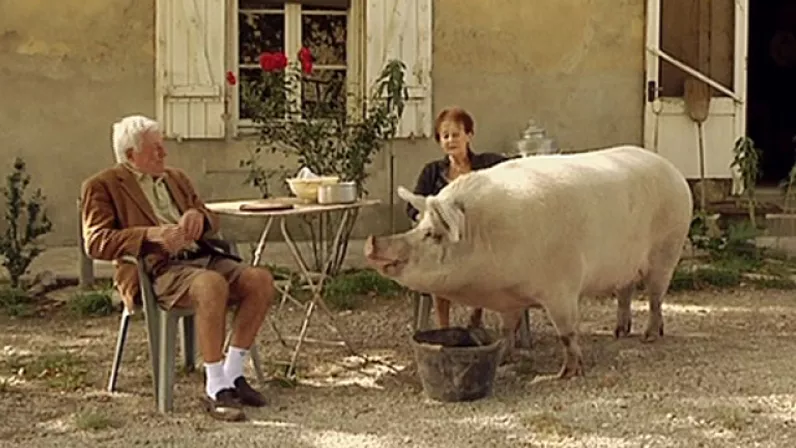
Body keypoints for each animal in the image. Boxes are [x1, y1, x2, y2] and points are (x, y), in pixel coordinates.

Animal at [364, 145, 693, 379]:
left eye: (432, 234)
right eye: (418, 224)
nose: (373, 241)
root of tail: (675, 171)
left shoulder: (562, 286)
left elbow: (566, 331)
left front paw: (566, 375)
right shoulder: (509, 297)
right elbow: (506, 329)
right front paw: (503, 359)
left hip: (668, 248)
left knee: (655, 297)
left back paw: (649, 337)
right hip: (625, 266)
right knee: (626, 293)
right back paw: (619, 332)